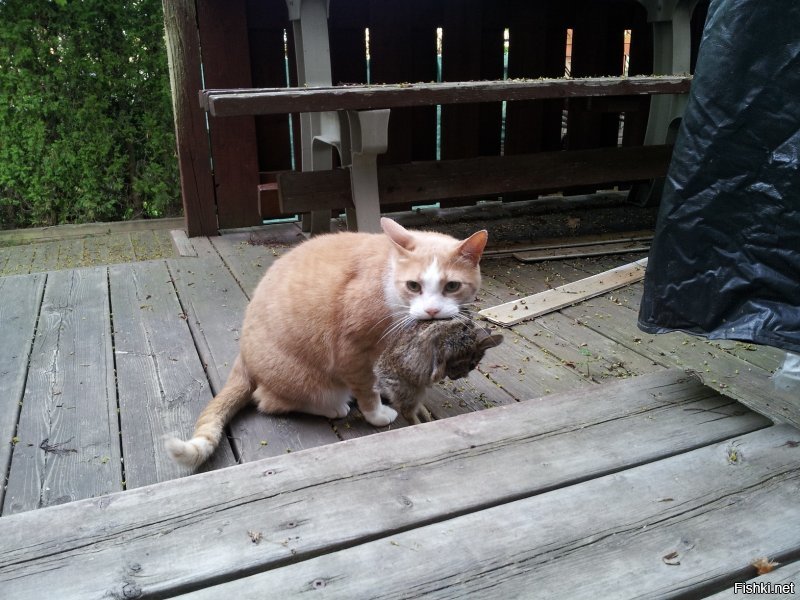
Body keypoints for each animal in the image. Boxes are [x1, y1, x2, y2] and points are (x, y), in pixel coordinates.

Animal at [166, 218, 484, 466]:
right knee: (269, 400)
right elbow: (366, 389)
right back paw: (334, 406)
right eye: (414, 286)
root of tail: (242, 358)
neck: (388, 275)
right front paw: (377, 414)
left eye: (452, 286)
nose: (431, 311)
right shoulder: (351, 350)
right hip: (304, 380)